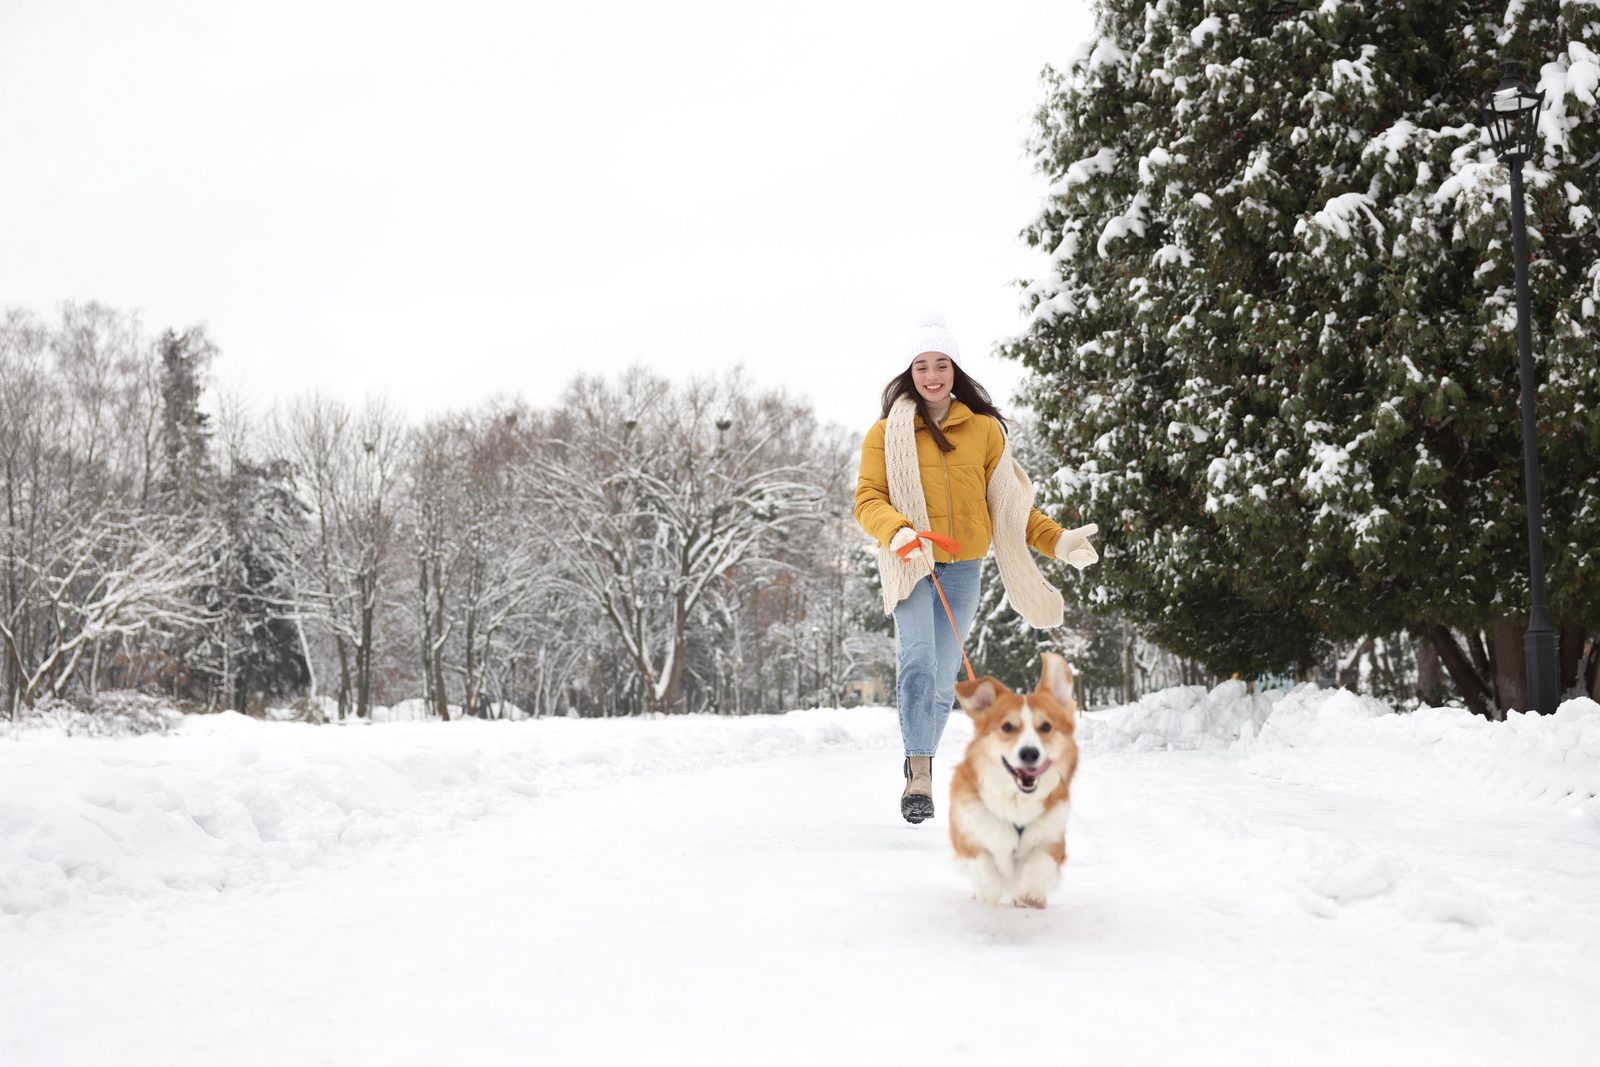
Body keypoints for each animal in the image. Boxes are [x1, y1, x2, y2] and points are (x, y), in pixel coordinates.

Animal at [953, 652, 1081, 908]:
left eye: (1046, 726)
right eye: (1007, 727)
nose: (1029, 753)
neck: (1016, 801)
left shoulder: (1053, 839)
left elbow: (1039, 861)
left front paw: (1031, 894)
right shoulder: (965, 835)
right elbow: (982, 860)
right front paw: (988, 892)